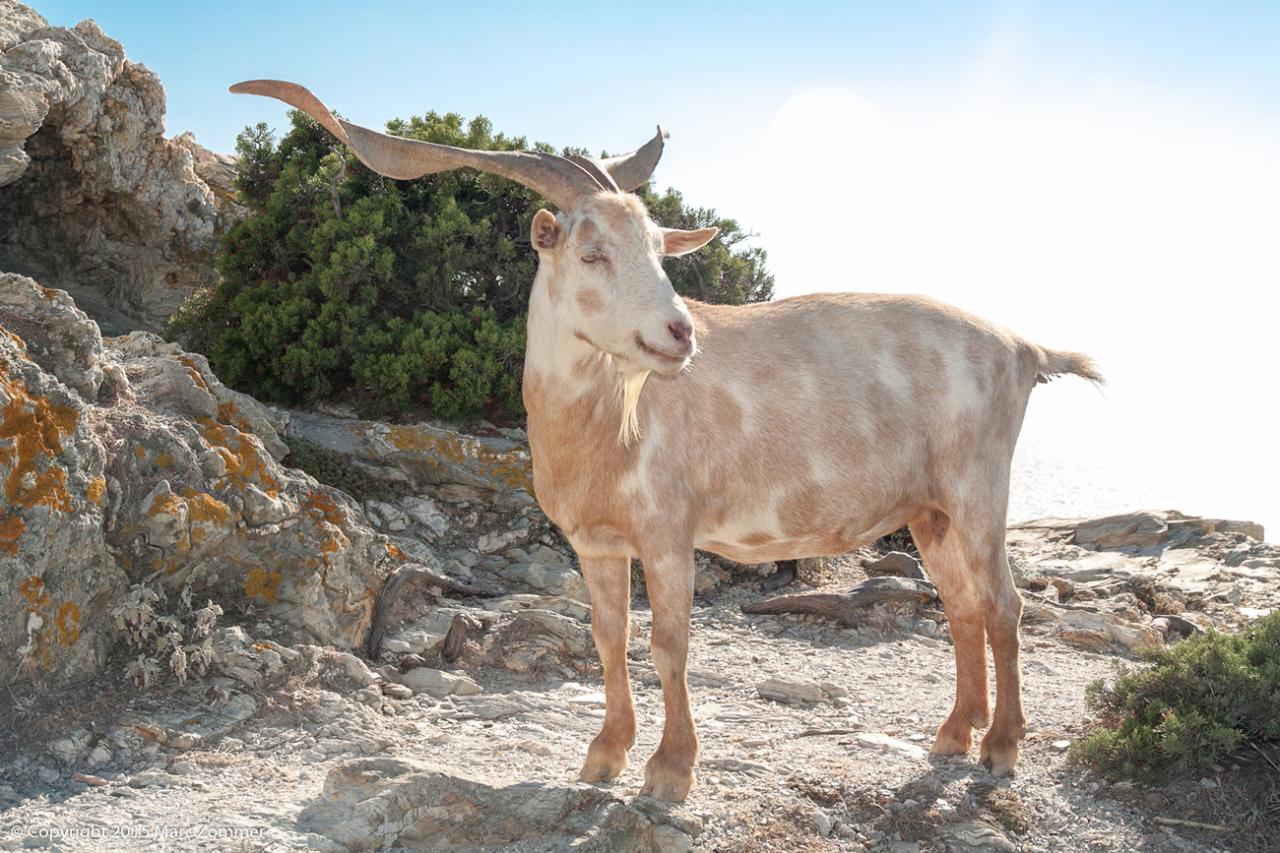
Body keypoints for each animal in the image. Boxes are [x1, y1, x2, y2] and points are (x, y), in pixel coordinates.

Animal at [238, 79, 1100, 799]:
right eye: (592, 250)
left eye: (658, 249)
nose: (681, 333)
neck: (607, 424)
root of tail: (1022, 348)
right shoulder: (596, 543)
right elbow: (609, 639)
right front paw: (603, 755)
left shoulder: (667, 531)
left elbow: (670, 644)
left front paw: (670, 770)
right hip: (929, 509)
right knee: (960, 604)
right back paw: (953, 735)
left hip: (979, 488)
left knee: (1004, 603)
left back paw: (1002, 748)